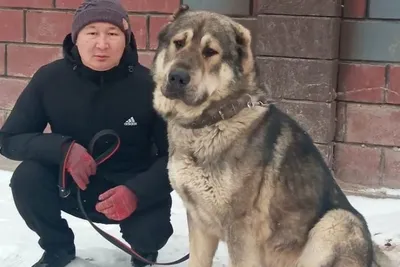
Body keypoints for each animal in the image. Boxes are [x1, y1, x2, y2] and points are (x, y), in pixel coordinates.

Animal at [150, 4, 394, 267]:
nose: (177, 77)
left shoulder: (241, 228)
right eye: (178, 43)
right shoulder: (199, 223)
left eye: (210, 51)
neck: (213, 121)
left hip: (336, 223)